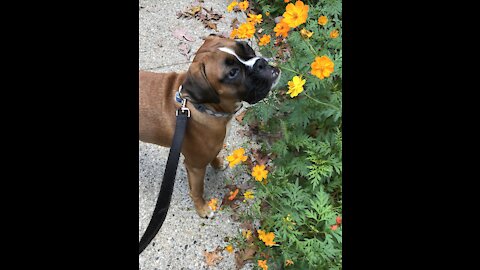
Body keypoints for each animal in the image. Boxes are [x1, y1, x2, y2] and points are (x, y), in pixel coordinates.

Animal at [139, 35, 282, 217]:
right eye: (232, 73)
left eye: (246, 47)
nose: (260, 63)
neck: (204, 107)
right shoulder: (195, 167)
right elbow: (197, 190)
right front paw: (202, 208)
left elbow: (215, 154)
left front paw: (218, 163)